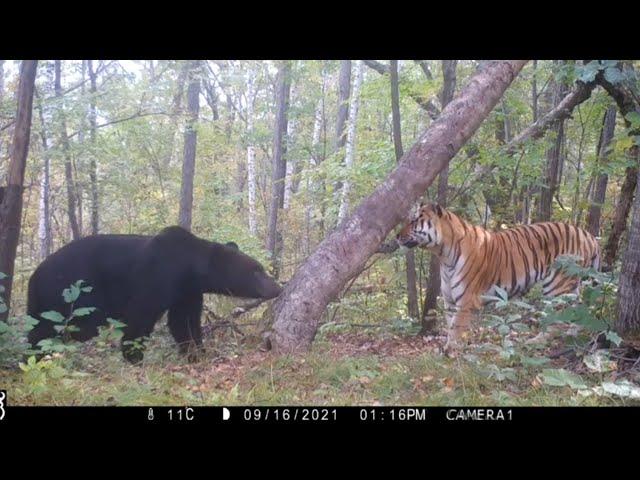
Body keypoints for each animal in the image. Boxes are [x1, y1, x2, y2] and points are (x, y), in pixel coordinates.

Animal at [26, 227, 282, 362]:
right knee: (52, 329)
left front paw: (196, 352)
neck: (189, 268)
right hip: (65, 294)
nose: (277, 287)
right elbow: (140, 317)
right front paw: (133, 356)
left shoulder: (187, 292)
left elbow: (184, 322)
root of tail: (34, 275)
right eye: (257, 270)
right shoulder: (156, 277)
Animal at [396, 202, 600, 352]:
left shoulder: (466, 301)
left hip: (557, 285)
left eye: (414, 221)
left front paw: (451, 353)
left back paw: (537, 341)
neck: (443, 255)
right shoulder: (450, 301)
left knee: (558, 319)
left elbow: (456, 328)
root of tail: (588, 235)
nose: (397, 236)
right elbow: (450, 326)